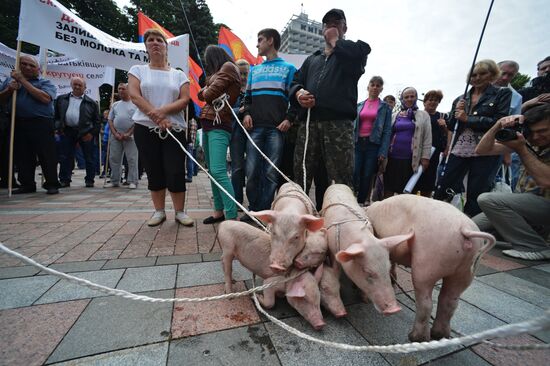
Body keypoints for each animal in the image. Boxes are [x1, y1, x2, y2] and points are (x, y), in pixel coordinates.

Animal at [324, 184, 414, 316]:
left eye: (387, 268)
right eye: (367, 272)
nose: (394, 309)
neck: (362, 237)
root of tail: (338, 184)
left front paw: (365, 300)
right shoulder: (332, 249)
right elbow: (335, 269)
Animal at [368, 196, 498, 342]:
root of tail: (464, 229)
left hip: (425, 264)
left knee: (425, 302)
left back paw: (415, 337)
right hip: (465, 272)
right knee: (449, 301)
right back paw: (439, 335)